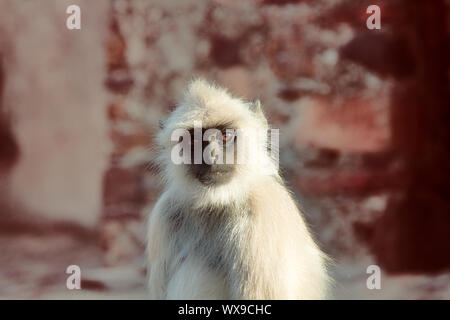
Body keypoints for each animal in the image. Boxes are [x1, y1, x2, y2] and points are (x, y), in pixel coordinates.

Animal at [148, 79, 330, 298]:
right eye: (194, 140)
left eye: (226, 137)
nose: (212, 156)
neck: (217, 203)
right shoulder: (165, 214)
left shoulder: (260, 214)